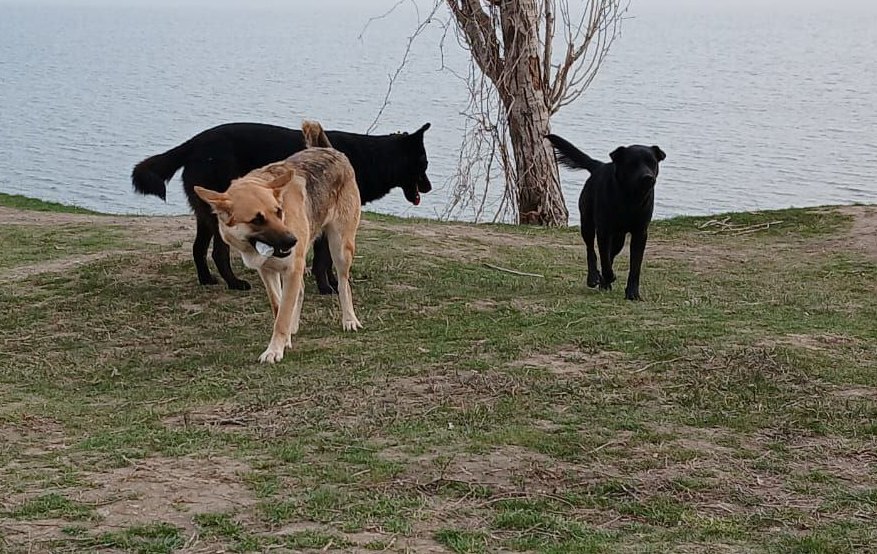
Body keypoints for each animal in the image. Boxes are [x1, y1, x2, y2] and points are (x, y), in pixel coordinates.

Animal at [132, 121, 431, 294]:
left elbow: (327, 259)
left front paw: (333, 282)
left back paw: (207, 280)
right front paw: (327, 287)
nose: (429, 187)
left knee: (197, 248)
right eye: (424, 164)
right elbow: (322, 260)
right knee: (218, 252)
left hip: (205, 216)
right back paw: (234, 284)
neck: (372, 158)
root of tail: (193, 143)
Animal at [194, 121, 362, 364]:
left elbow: (283, 313)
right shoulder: (268, 271)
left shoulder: (292, 268)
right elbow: (279, 306)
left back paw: (349, 319)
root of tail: (330, 151)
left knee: (343, 283)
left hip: (340, 247)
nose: (293, 240)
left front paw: (274, 350)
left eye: (279, 211)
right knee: (300, 290)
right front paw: (284, 338)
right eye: (257, 219)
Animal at [546, 134, 666, 300]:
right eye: (632, 164)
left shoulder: (640, 233)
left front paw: (632, 293)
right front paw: (608, 277)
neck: (630, 199)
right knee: (591, 251)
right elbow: (604, 259)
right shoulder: (604, 230)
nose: (648, 177)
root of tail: (599, 166)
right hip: (587, 224)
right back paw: (594, 278)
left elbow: (635, 265)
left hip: (619, 238)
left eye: (652, 163)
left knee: (610, 254)